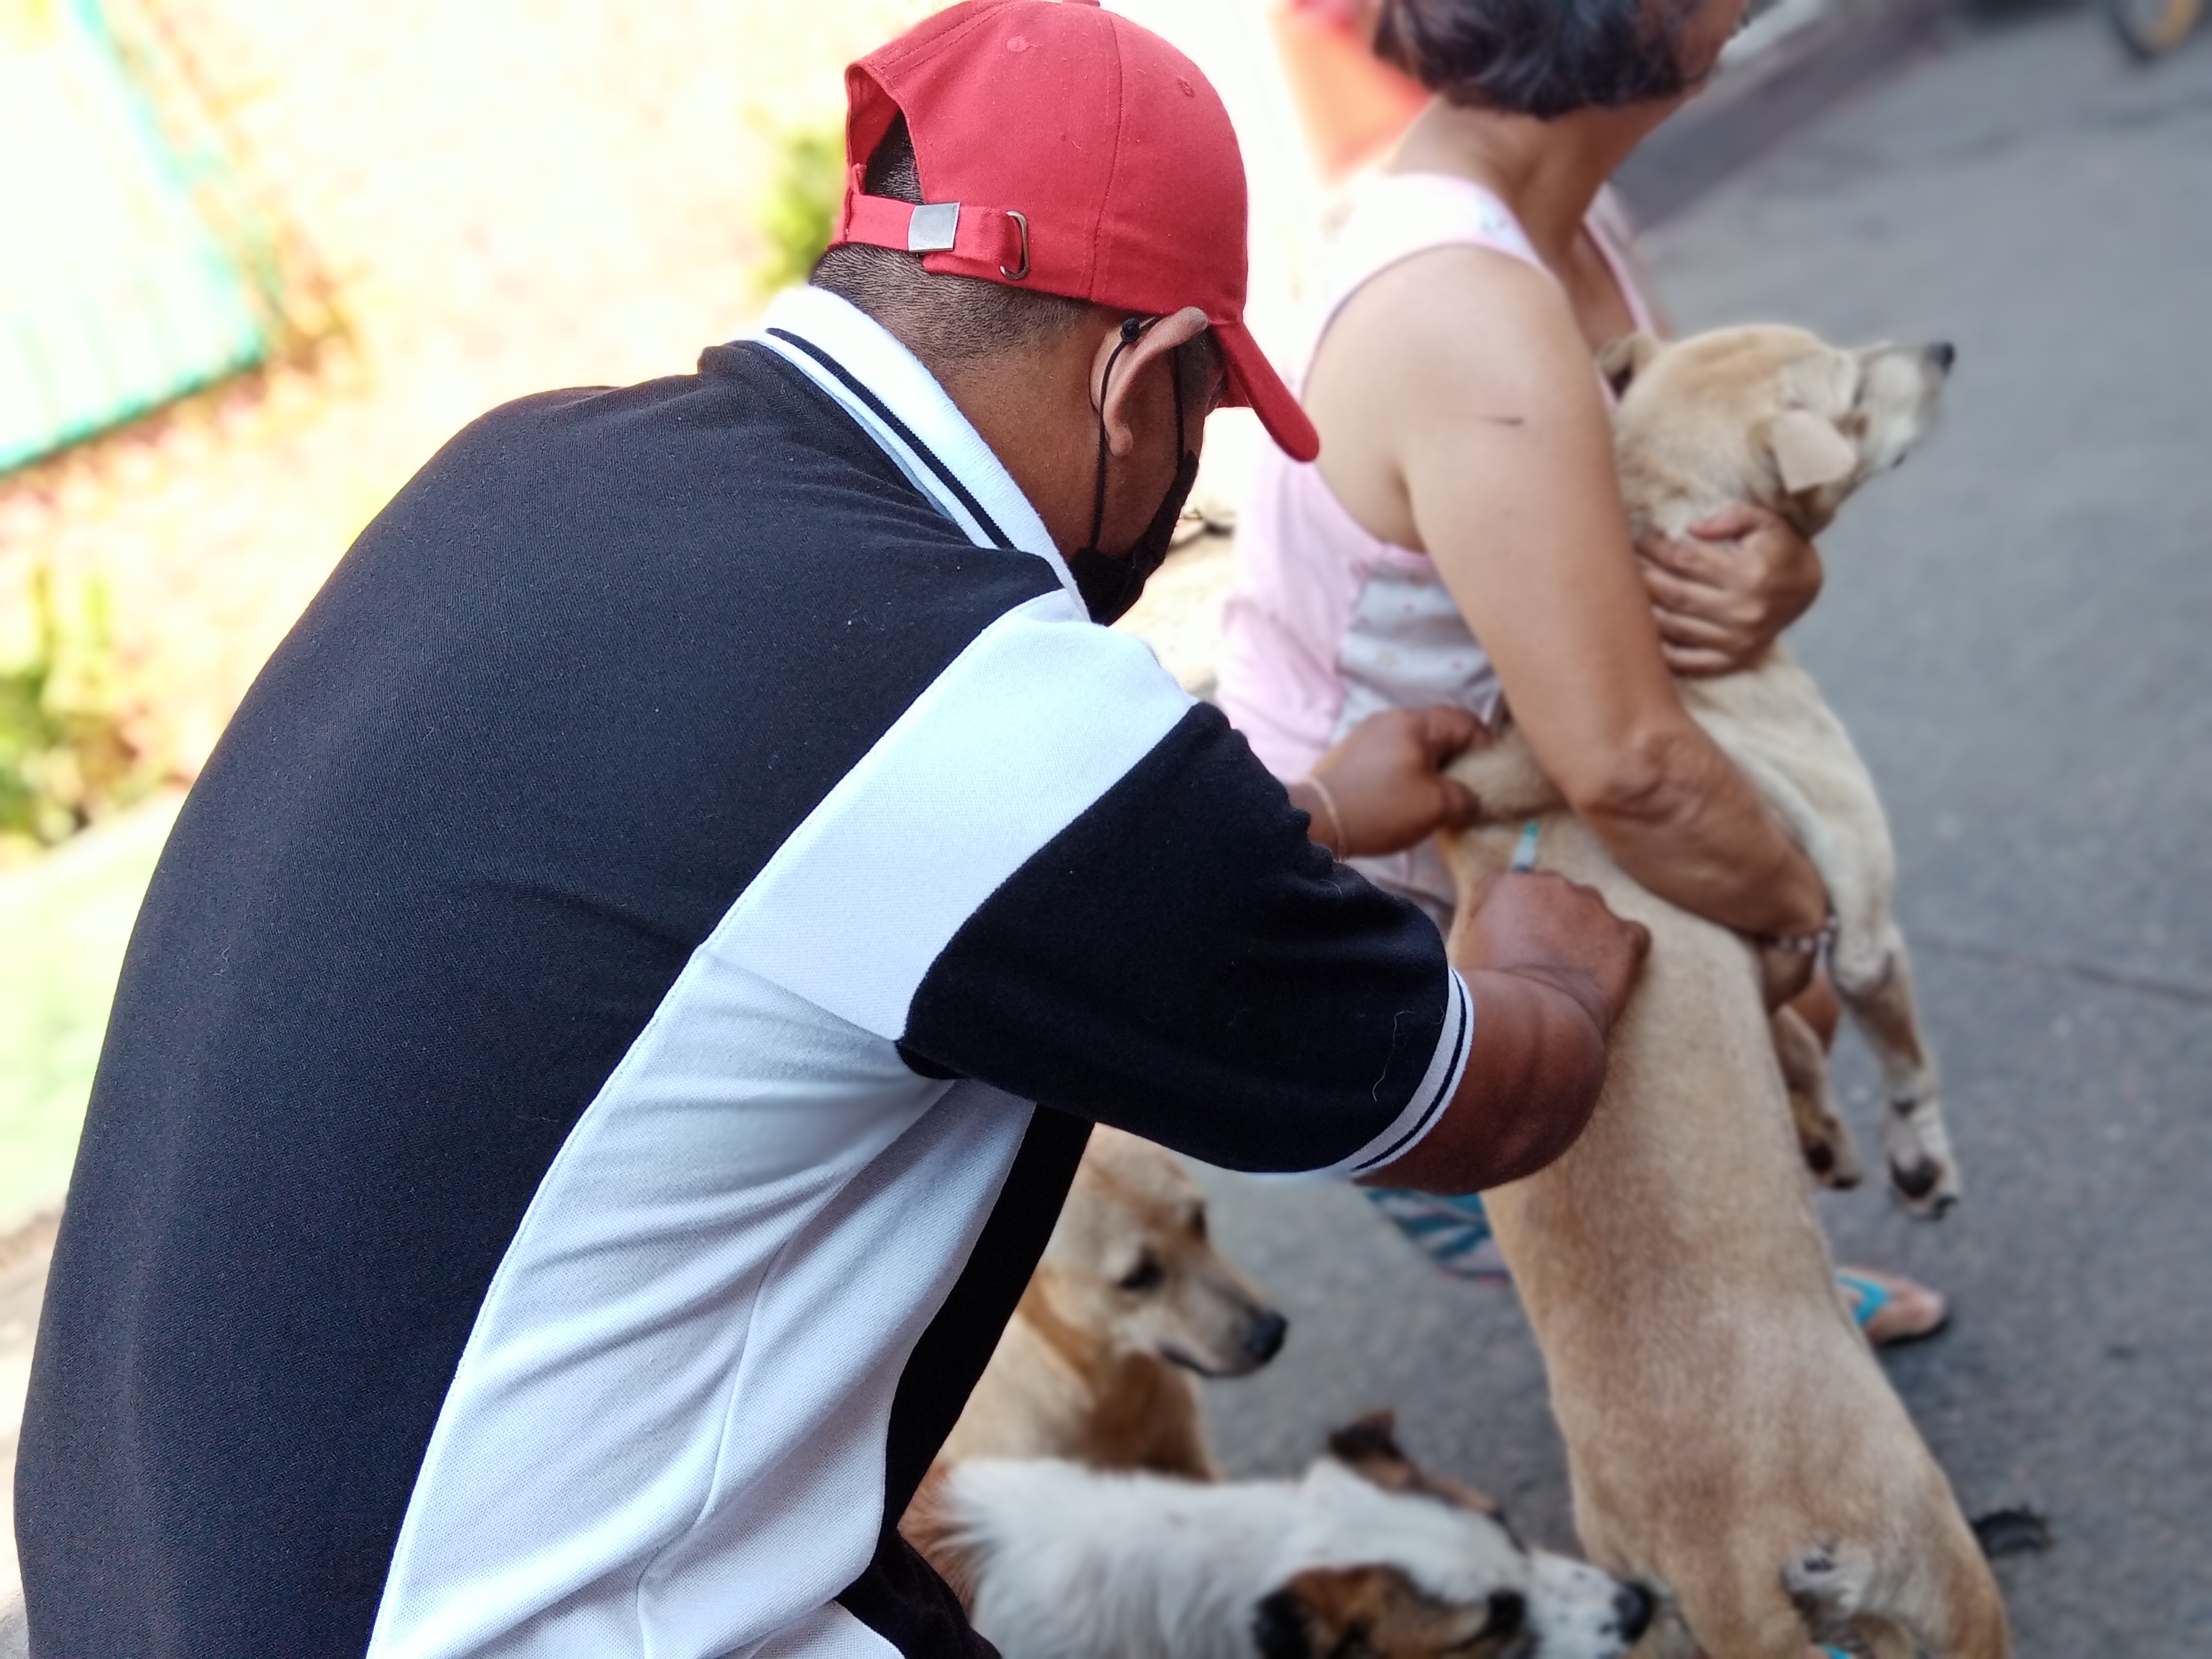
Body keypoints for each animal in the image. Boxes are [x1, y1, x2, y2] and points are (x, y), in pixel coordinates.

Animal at [1442, 325, 2017, 1659]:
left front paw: (1827, 1136)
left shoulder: (1779, 955)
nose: (1944, 345)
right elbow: (1905, 1054)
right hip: (1946, 1580)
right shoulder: (1861, 921)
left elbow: (1801, 1047)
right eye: (1852, 393)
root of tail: (1728, 1562)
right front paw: (1921, 1166)